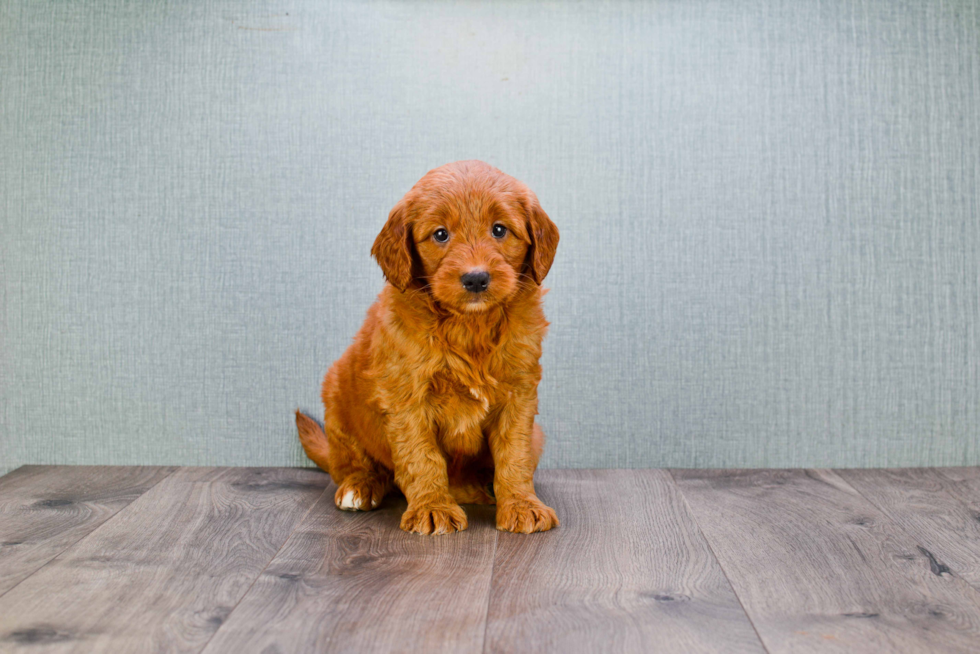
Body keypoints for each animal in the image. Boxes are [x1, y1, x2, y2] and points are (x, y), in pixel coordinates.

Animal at [294, 161, 560, 536]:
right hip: (336, 398)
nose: (476, 278)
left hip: (538, 435)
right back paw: (360, 486)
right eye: (440, 235)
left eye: (499, 230)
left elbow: (515, 454)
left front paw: (522, 505)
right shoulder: (406, 396)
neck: (468, 326)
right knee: (352, 464)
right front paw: (432, 507)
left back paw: (482, 484)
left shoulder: (519, 393)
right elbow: (421, 455)